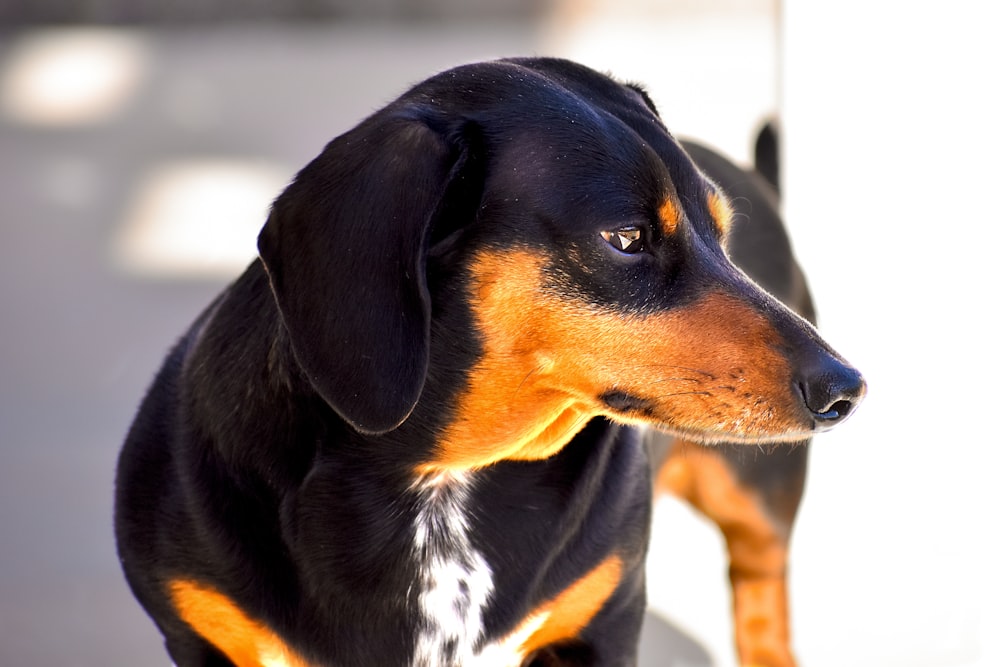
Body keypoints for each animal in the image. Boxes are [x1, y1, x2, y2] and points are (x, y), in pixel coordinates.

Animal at [113, 58, 864, 667]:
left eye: (722, 232)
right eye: (627, 237)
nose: (846, 388)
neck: (439, 479)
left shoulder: (604, 620)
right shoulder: (201, 632)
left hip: (759, 501)